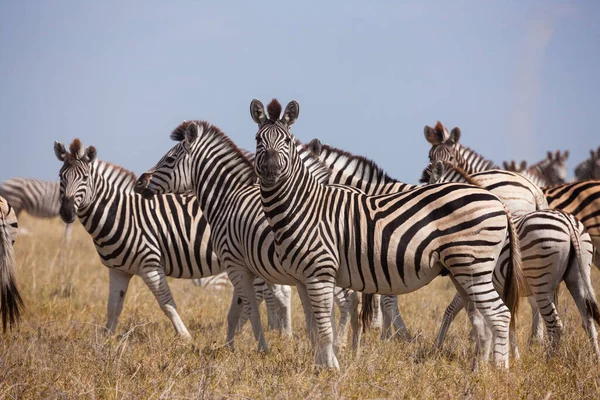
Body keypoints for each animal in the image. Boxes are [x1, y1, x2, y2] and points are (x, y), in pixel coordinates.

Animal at [54, 138, 290, 340]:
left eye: (85, 178)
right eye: (60, 177)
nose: (66, 212)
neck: (122, 213)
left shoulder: (150, 265)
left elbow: (167, 304)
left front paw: (185, 337)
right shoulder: (118, 270)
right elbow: (113, 308)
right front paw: (105, 341)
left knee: (269, 292)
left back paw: (268, 333)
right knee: (273, 292)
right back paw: (276, 331)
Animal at [134, 122, 364, 356]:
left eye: (169, 159)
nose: (139, 182)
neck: (227, 199)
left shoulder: (236, 264)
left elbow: (250, 308)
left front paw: (262, 348)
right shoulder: (242, 266)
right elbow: (235, 311)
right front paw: (228, 348)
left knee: (347, 300)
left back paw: (340, 345)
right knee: (353, 301)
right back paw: (353, 348)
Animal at [251, 98, 524, 370]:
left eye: (286, 140)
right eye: (257, 139)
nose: (271, 171)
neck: (304, 205)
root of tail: (498, 201)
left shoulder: (321, 272)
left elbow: (326, 327)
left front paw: (332, 368)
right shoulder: (303, 278)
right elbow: (314, 329)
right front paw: (319, 367)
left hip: (474, 266)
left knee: (500, 315)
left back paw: (499, 370)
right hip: (462, 272)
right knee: (481, 321)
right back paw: (477, 370)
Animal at [424, 160, 600, 356]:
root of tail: (569, 224)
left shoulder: (472, 279)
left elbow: (451, 311)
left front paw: (438, 348)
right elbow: (506, 320)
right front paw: (510, 354)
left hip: (542, 282)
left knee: (556, 324)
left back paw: (550, 359)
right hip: (577, 276)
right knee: (588, 319)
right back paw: (595, 356)